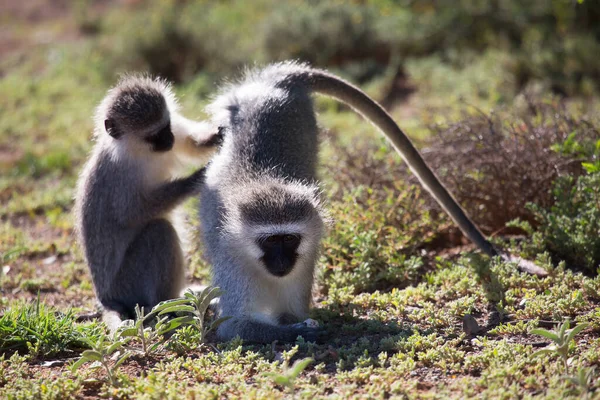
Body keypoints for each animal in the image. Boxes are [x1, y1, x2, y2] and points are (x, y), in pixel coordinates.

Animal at [74, 75, 223, 332]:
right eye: (153, 135)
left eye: (166, 126)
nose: (169, 139)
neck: (142, 153)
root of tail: (106, 298)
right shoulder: (120, 178)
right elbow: (137, 212)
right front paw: (195, 179)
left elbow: (189, 144)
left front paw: (218, 135)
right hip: (128, 283)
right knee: (158, 230)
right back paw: (170, 304)